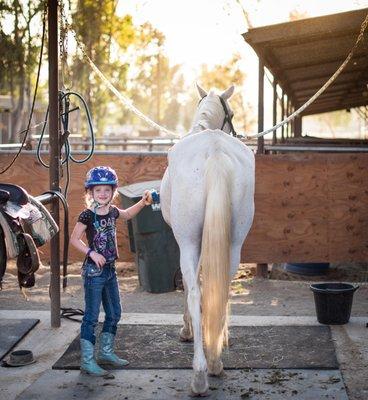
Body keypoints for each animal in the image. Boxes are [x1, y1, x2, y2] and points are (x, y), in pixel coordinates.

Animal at [161, 84, 256, 396]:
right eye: (233, 114)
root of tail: (214, 151)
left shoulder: (186, 242)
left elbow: (193, 286)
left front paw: (187, 331)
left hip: (189, 242)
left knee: (194, 292)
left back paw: (201, 374)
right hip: (235, 244)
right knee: (222, 289)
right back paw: (215, 361)